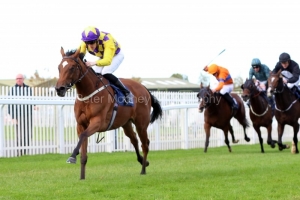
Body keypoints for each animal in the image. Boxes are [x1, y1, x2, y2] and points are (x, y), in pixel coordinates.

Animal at [54, 47, 162, 180]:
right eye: (59, 67)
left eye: (72, 67)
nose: (59, 89)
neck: (88, 93)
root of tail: (145, 88)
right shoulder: (80, 125)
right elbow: (83, 148)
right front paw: (82, 177)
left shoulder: (98, 122)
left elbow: (83, 135)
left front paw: (72, 156)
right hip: (126, 123)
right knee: (134, 140)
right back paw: (143, 161)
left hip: (141, 124)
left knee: (145, 144)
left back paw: (143, 170)